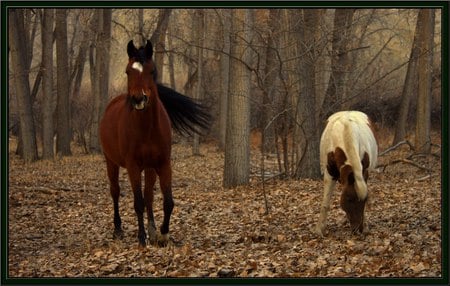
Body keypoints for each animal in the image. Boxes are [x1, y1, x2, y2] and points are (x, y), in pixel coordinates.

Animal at [99, 39, 210, 247]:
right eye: (128, 71)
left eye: (151, 71)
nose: (138, 99)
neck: (147, 129)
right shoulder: (133, 167)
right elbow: (138, 202)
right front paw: (141, 237)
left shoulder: (163, 164)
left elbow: (167, 201)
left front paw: (163, 234)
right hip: (111, 163)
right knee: (115, 192)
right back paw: (118, 229)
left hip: (149, 168)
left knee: (149, 195)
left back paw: (151, 230)